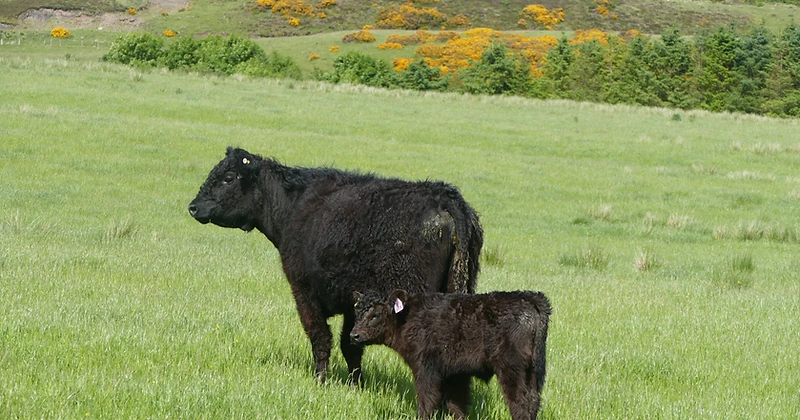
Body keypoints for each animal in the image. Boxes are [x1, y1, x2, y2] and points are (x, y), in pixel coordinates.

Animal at [187, 147, 483, 384]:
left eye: (228, 178)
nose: (193, 207)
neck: (295, 206)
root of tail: (443, 196)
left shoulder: (304, 292)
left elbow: (321, 338)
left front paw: (321, 381)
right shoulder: (355, 302)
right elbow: (350, 344)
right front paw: (356, 385)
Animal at [350, 289, 550, 420]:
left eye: (375, 315)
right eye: (356, 312)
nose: (354, 335)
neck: (407, 318)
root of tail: (529, 297)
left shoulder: (426, 369)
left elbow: (427, 400)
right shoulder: (456, 373)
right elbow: (457, 404)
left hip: (511, 368)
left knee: (520, 403)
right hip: (532, 372)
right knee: (533, 400)